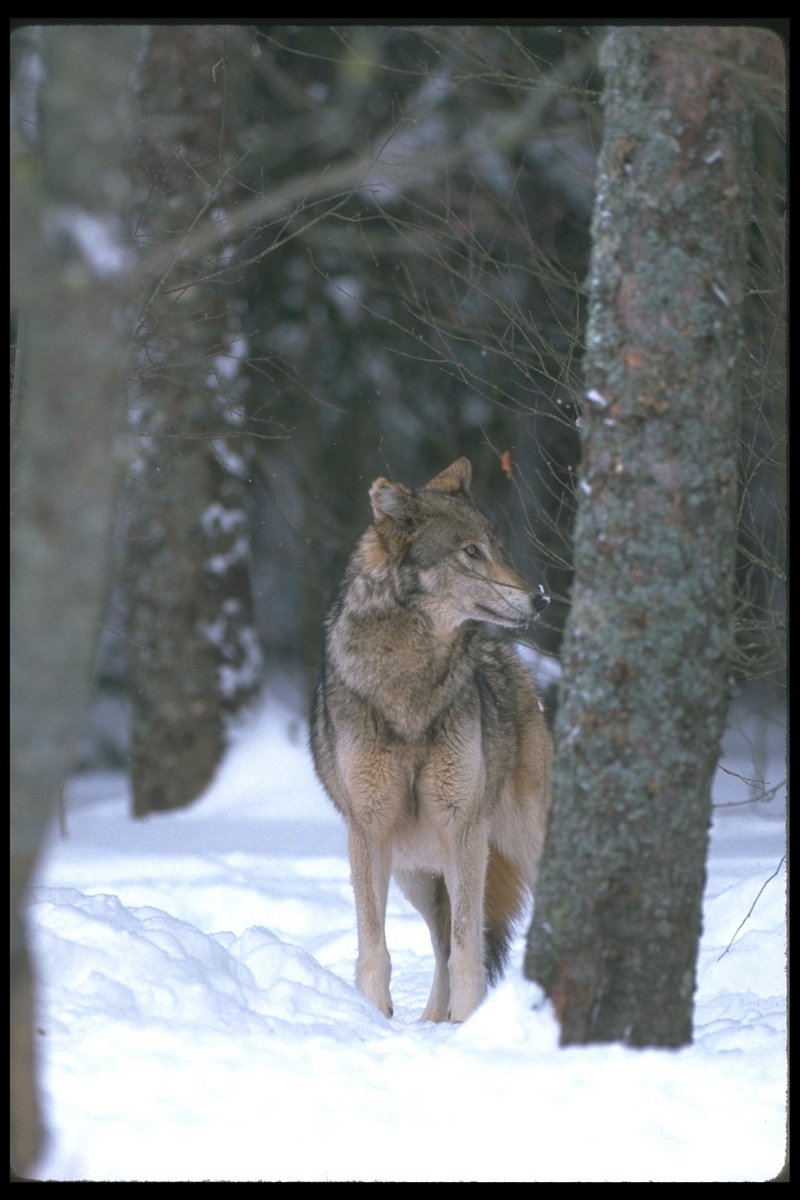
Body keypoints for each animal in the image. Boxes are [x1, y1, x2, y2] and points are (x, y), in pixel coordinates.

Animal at [309, 458, 554, 1022]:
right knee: (439, 944)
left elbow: (468, 947)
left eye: (496, 547)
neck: (410, 686)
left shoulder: (462, 826)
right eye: (471, 552)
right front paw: (375, 1014)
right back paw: (429, 1022)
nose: (540, 598)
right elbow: (375, 945)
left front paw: (467, 1023)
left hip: (513, 843)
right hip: (415, 873)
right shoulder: (368, 829)